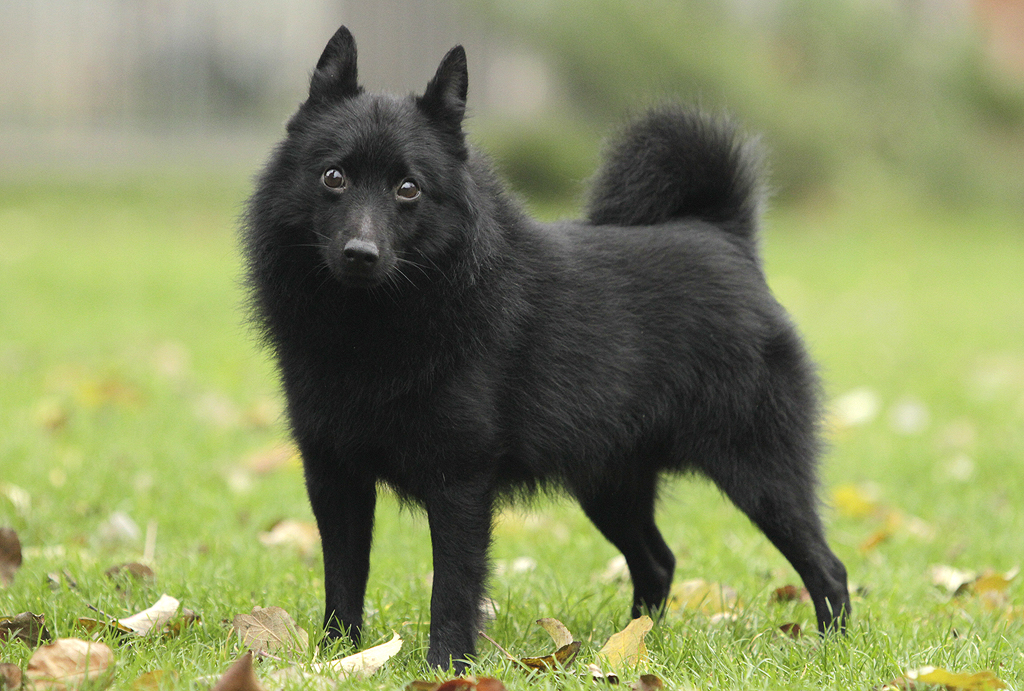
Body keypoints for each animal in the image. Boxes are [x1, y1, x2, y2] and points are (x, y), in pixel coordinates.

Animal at [239, 27, 847, 671]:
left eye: (408, 189)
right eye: (334, 177)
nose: (361, 253)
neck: (371, 327)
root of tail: (723, 237)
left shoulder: (460, 483)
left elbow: (451, 588)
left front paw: (446, 667)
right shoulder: (334, 476)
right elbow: (343, 578)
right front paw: (336, 658)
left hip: (760, 472)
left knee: (827, 567)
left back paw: (829, 649)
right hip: (610, 484)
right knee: (658, 561)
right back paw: (633, 643)